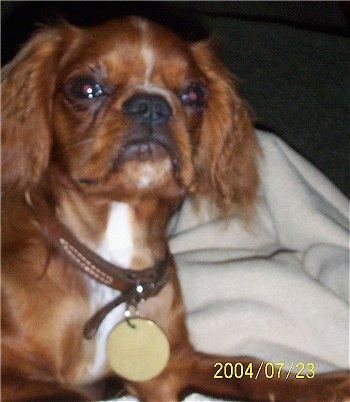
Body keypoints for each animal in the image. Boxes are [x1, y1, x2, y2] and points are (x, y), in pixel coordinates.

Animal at [2, 16, 350, 402]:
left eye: (194, 94)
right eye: (85, 88)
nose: (151, 105)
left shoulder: (168, 369)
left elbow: (254, 371)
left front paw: (330, 385)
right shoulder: (13, 376)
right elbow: (68, 393)